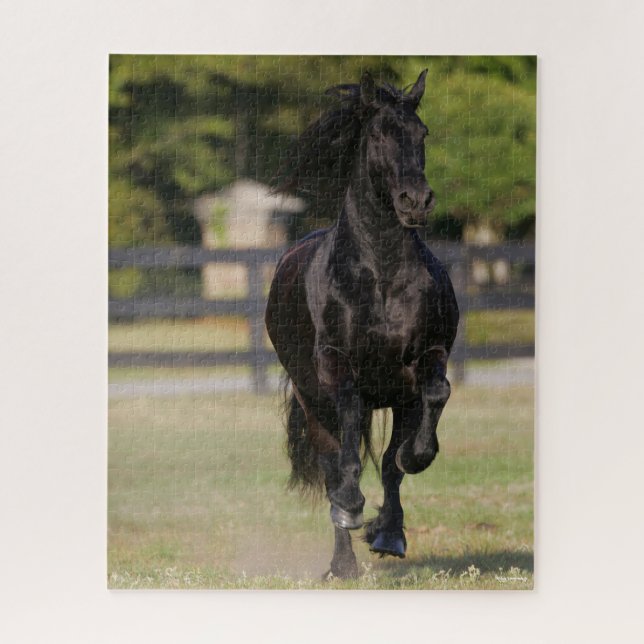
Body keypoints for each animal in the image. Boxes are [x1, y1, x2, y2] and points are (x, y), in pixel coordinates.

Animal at [265, 70, 459, 579]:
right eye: (377, 136)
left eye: (422, 133)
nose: (416, 201)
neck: (380, 275)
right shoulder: (338, 367)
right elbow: (349, 442)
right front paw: (352, 507)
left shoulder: (424, 363)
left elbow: (424, 416)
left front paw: (389, 526)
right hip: (312, 400)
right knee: (332, 462)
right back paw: (342, 559)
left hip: (395, 396)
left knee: (389, 461)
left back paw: (386, 531)